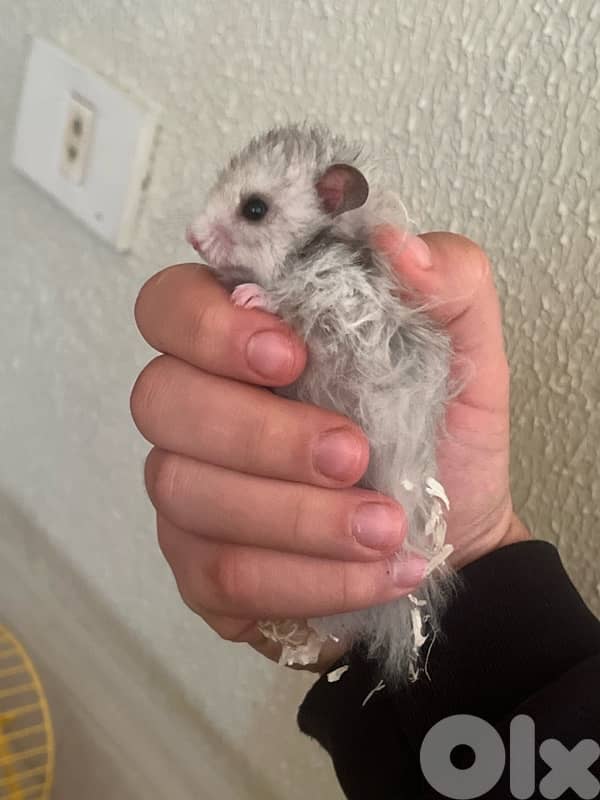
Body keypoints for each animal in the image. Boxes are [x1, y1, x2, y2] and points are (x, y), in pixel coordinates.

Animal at [186, 123, 454, 683]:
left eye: (255, 208)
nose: (191, 238)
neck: (308, 250)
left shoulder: (339, 302)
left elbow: (291, 302)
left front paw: (248, 297)